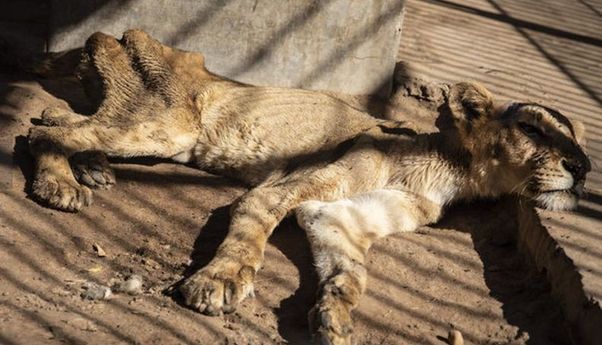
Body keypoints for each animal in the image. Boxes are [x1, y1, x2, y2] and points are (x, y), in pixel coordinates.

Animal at [27, 30, 584, 344]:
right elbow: (248, 239)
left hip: (154, 133)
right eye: (533, 129)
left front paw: (335, 318)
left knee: (54, 118)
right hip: (166, 128)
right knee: (41, 132)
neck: (448, 174)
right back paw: (62, 186)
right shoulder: (281, 191)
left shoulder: (334, 215)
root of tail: (120, 35)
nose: (584, 166)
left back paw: (92, 168)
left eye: (576, 134)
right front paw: (218, 283)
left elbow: (351, 273)